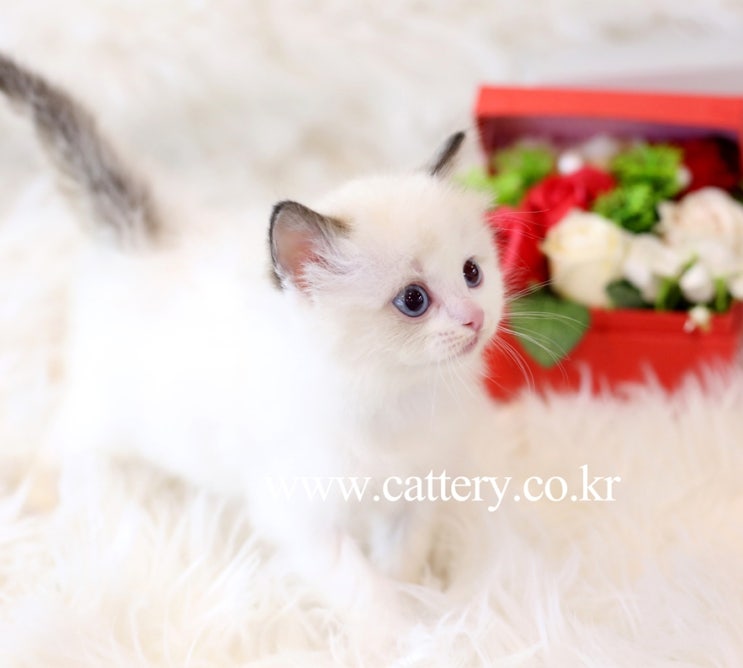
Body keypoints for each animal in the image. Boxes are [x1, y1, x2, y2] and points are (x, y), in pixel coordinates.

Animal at [0, 52, 504, 624]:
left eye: (471, 273)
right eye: (414, 300)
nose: (474, 319)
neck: (396, 394)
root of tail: (150, 236)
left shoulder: (415, 494)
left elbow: (400, 562)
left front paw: (428, 610)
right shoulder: (302, 520)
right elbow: (367, 593)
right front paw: (409, 631)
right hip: (107, 411)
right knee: (63, 435)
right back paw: (39, 495)